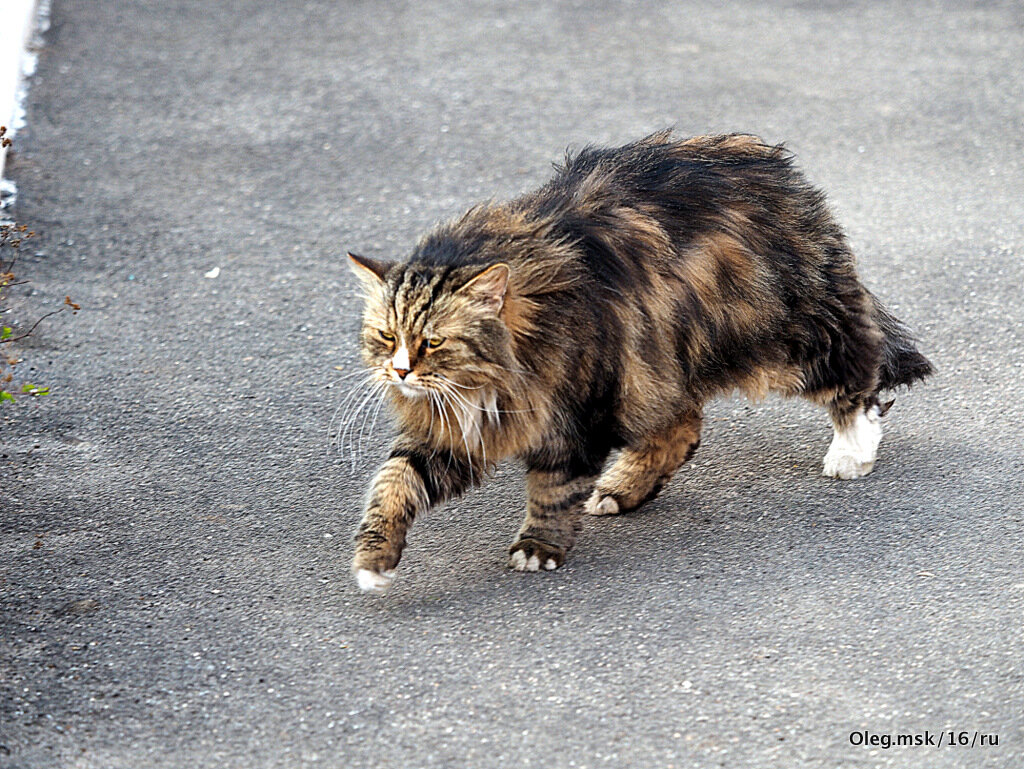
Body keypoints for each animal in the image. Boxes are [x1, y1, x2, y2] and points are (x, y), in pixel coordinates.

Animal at [342, 131, 929, 593]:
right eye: (387, 336)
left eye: (433, 343)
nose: (400, 370)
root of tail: (777, 167)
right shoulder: (452, 427)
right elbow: (394, 482)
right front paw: (373, 562)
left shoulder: (576, 410)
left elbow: (552, 489)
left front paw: (538, 546)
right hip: (658, 365)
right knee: (683, 426)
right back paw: (622, 489)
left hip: (789, 334)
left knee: (860, 376)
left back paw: (851, 452)